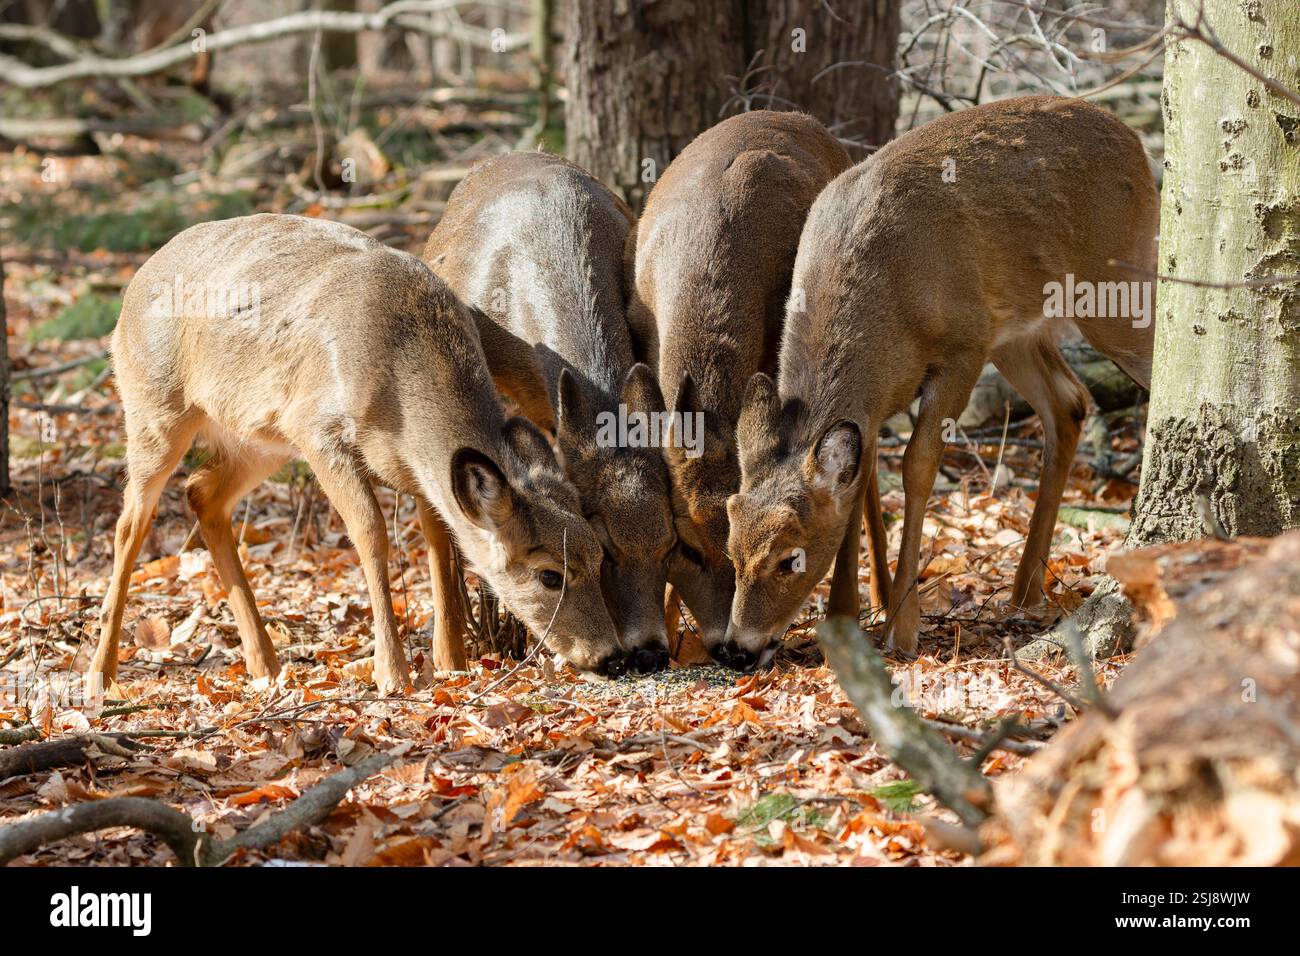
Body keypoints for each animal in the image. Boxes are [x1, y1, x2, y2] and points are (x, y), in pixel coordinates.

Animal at [88, 214, 626, 695]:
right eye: (549, 575)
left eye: (601, 555)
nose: (610, 656)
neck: (401, 384)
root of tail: (133, 285)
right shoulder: (316, 428)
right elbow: (370, 532)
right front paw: (393, 674)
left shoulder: (415, 470)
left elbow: (440, 541)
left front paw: (451, 663)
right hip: (154, 408)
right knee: (130, 523)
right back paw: (99, 675)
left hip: (259, 440)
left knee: (202, 493)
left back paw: (265, 664)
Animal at [727, 96, 1159, 660]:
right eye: (731, 550)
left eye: (789, 558)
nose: (737, 646)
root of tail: (1136, 140)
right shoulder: (881, 401)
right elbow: (861, 482)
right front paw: (849, 613)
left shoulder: (962, 347)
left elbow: (917, 466)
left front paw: (902, 625)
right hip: (1014, 332)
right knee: (1070, 402)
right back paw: (1026, 589)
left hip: (1116, 287)